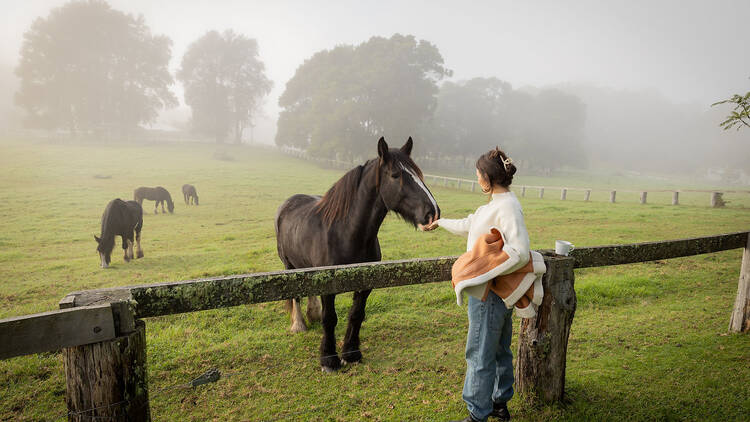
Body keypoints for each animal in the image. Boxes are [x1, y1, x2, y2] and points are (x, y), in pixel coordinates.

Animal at [276, 137, 440, 370]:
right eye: (395, 175)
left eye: (419, 174)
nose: (433, 212)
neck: (347, 233)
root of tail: (288, 203)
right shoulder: (329, 287)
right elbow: (330, 318)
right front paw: (329, 359)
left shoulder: (365, 283)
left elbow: (356, 314)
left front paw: (351, 353)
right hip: (289, 266)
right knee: (295, 295)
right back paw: (299, 324)